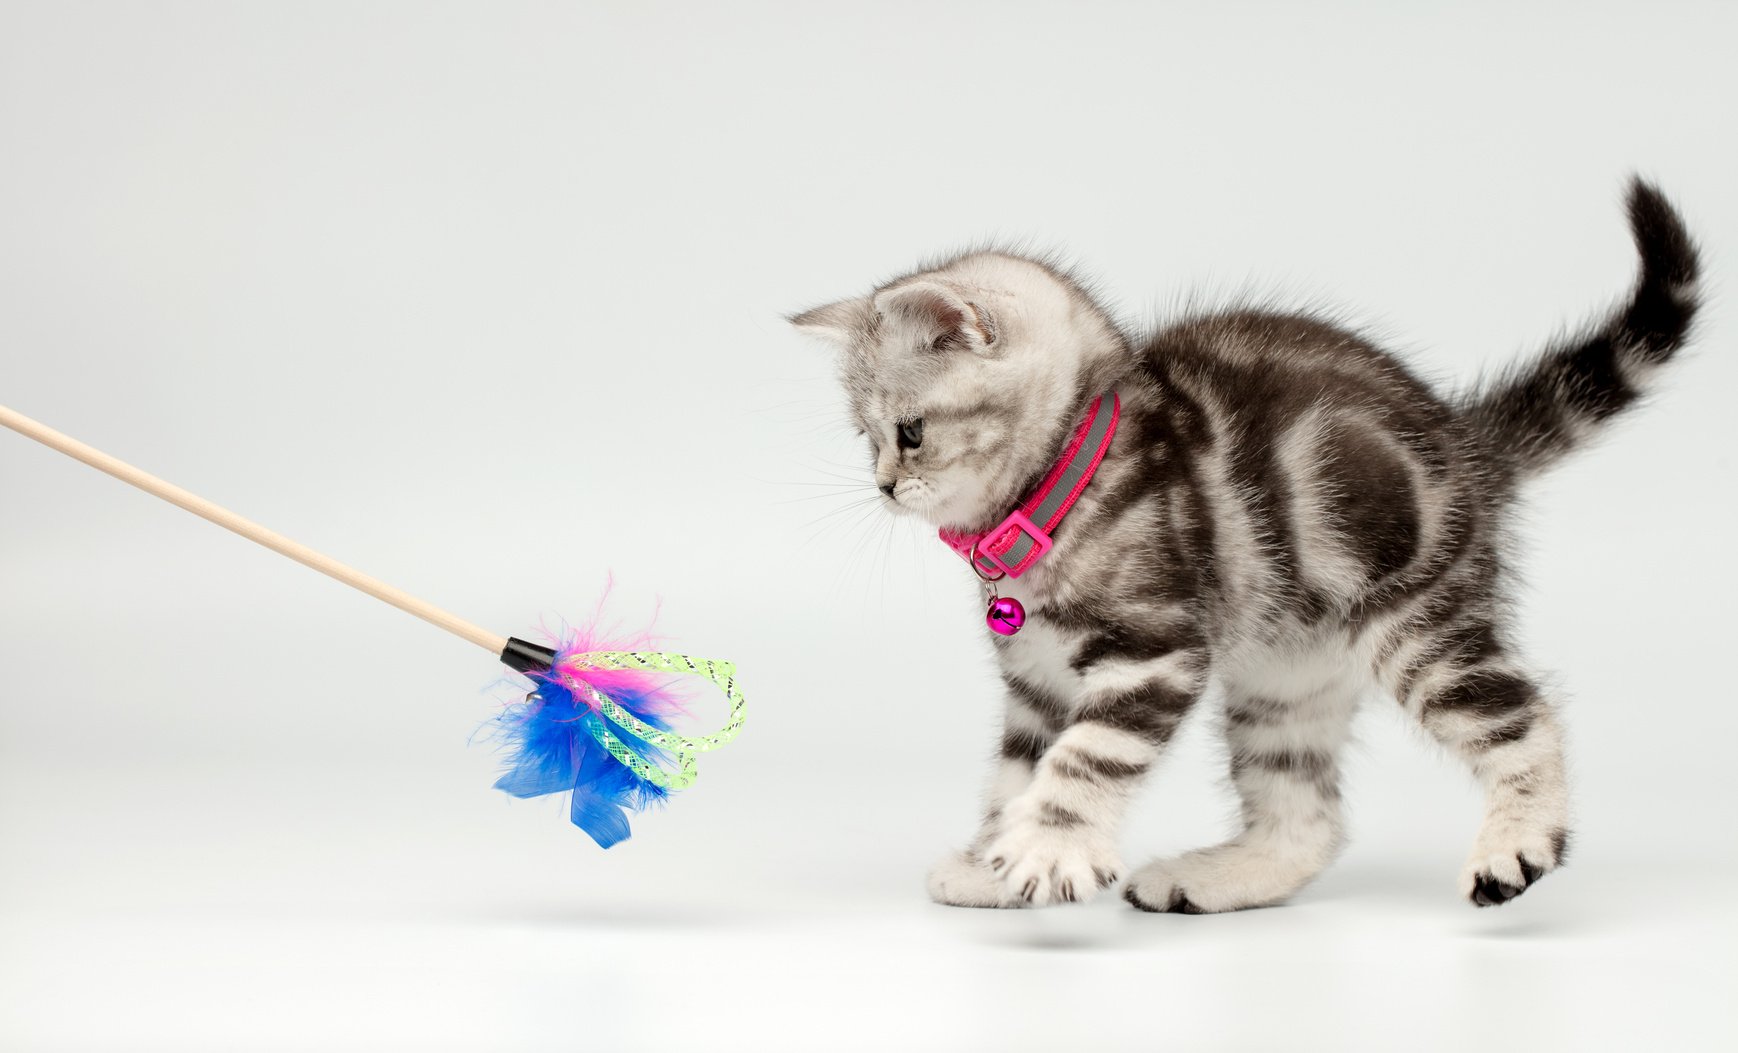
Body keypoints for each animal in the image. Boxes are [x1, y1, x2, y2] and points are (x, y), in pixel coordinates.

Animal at [796, 177, 1703, 910]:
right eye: (864, 437)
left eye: (910, 433)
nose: (883, 483)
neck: (1069, 483)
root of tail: (1466, 443)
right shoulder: (1038, 683)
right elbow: (1017, 770)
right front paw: (995, 858)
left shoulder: (1154, 650)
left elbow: (1084, 758)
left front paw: (1050, 846)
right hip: (1284, 679)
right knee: (1310, 818)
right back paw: (1216, 877)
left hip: (1419, 620)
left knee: (1523, 714)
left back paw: (1517, 843)